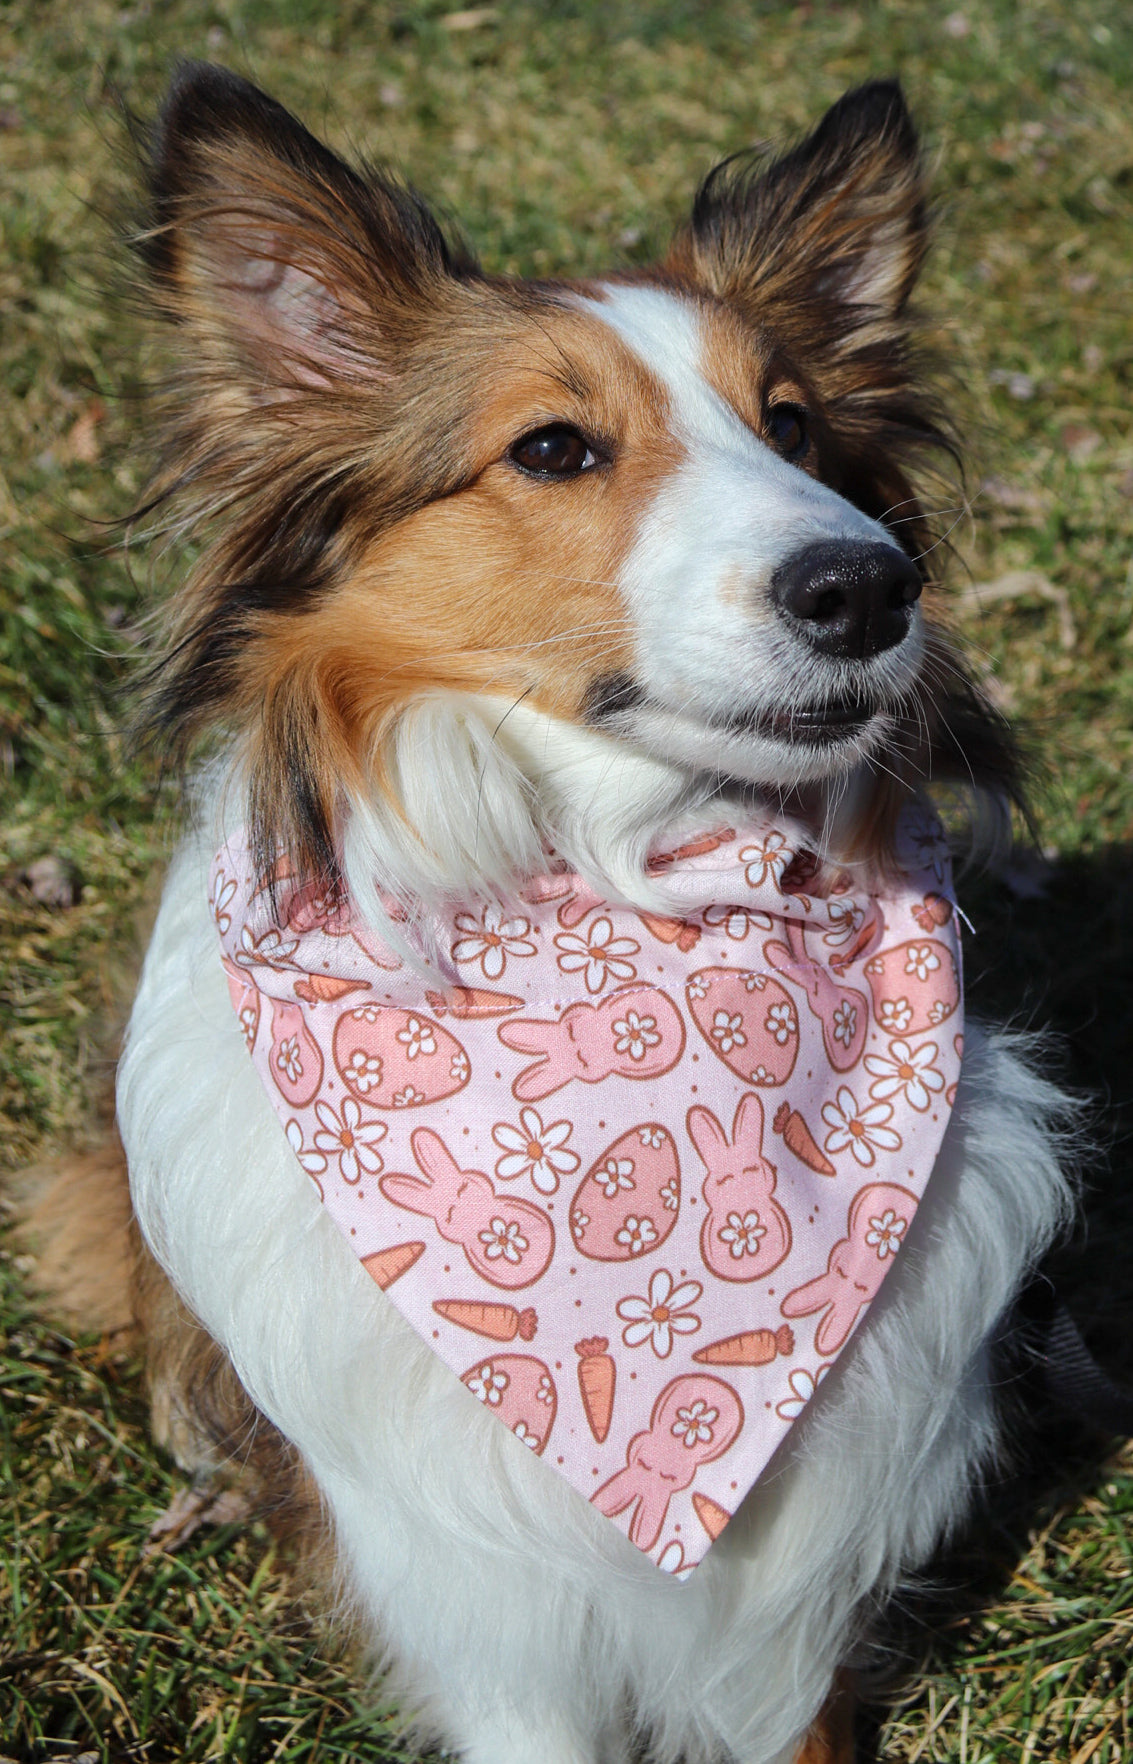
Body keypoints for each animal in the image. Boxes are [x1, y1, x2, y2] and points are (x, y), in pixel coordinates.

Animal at [81, 65, 1072, 1764]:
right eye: (551, 447)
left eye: (793, 424)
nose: (866, 587)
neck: (626, 896)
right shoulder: (490, 1611)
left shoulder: (794, 1603)